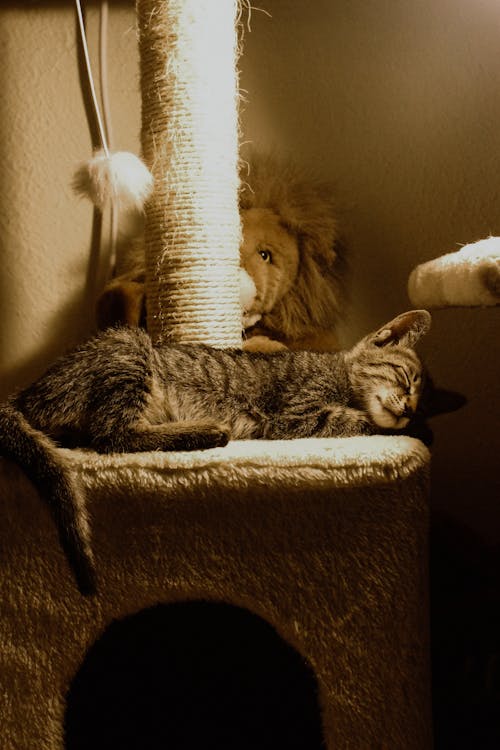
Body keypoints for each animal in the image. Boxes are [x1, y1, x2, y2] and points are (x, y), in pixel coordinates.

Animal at [0, 308, 438, 596]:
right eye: (406, 378)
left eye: (420, 397)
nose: (410, 409)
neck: (342, 378)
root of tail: (27, 393)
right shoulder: (296, 415)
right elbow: (356, 420)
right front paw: (414, 429)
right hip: (128, 350)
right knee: (113, 435)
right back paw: (205, 432)